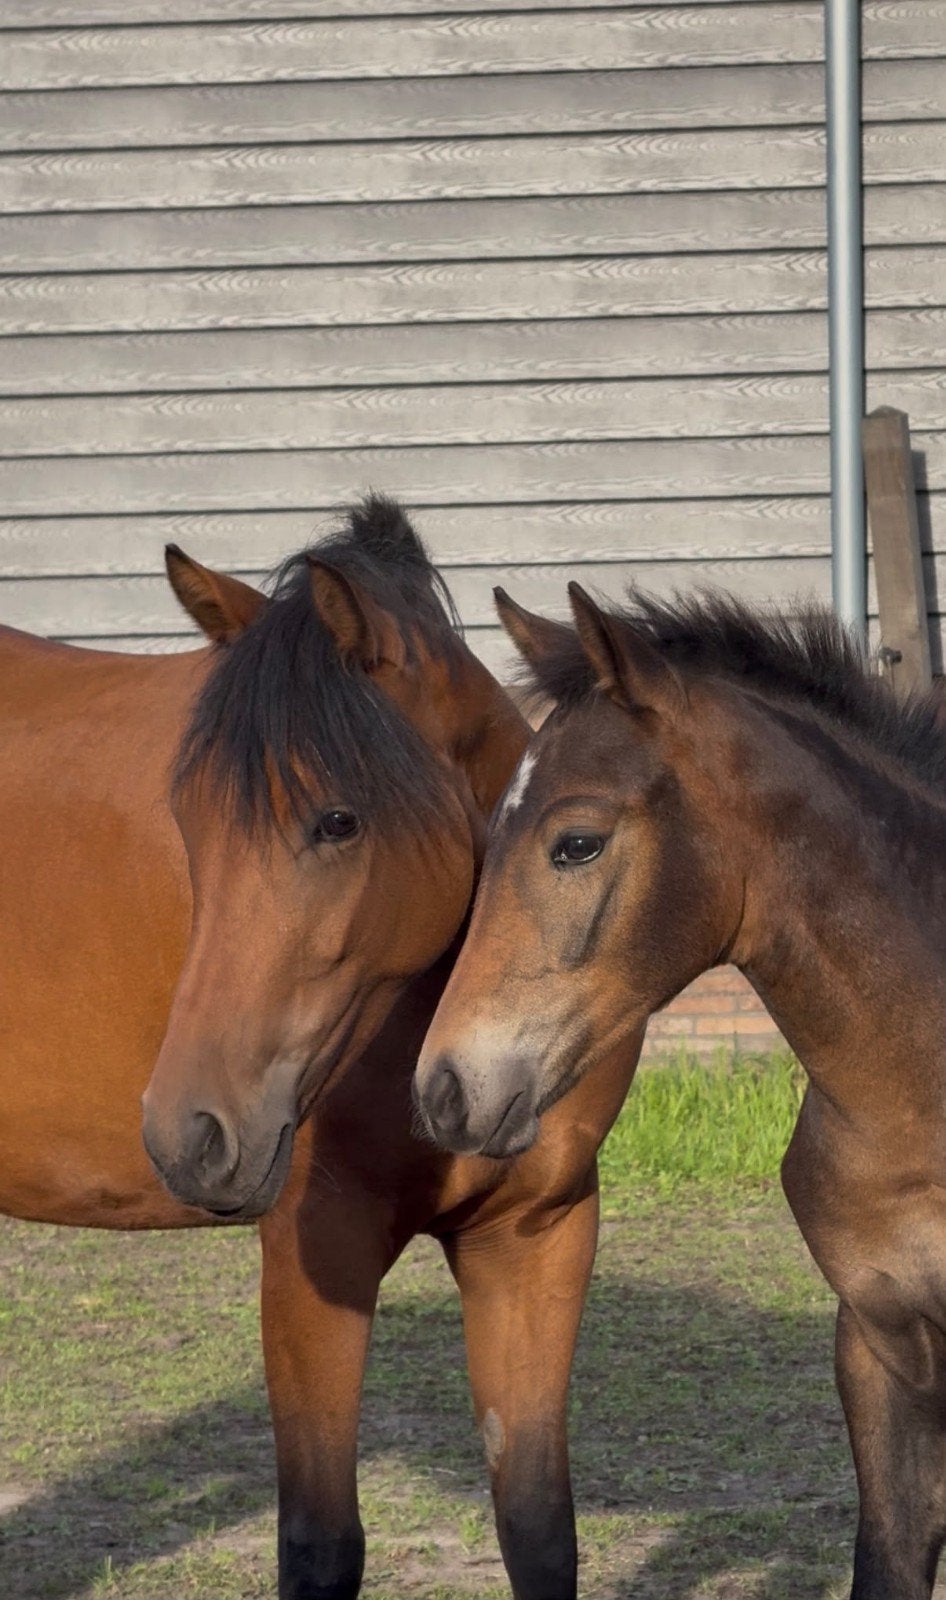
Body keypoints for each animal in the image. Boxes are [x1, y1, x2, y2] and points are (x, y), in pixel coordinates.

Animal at [0, 498, 637, 1600]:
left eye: (338, 821)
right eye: (188, 820)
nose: (190, 1134)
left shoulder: (535, 1236)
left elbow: (538, 1527)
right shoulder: (316, 1256)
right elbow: (320, 1545)